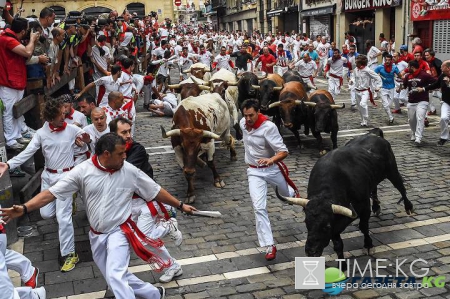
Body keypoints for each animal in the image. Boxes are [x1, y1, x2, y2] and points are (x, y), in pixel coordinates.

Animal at [276, 130, 414, 270]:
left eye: (326, 226)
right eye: (306, 222)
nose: (311, 251)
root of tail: (373, 134)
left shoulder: (363, 206)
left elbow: (363, 227)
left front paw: (368, 245)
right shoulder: (336, 224)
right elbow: (338, 245)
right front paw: (342, 266)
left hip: (392, 171)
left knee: (401, 188)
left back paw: (408, 207)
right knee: (375, 189)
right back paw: (376, 207)